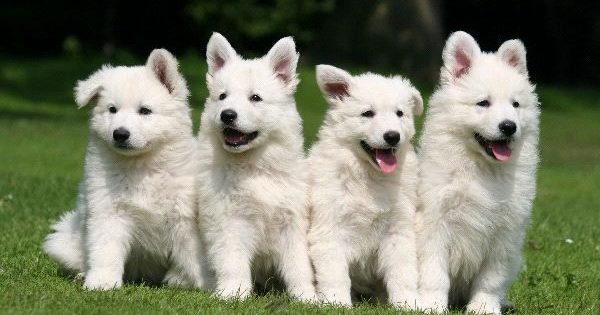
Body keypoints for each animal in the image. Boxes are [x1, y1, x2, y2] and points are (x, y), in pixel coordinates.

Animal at [42, 50, 206, 292]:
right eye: (112, 110)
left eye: (145, 111)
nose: (120, 134)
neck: (141, 166)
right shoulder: (108, 212)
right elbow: (105, 251)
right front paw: (102, 283)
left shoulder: (184, 216)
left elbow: (194, 256)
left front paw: (207, 283)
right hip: (65, 238)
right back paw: (81, 274)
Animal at [197, 33, 316, 302]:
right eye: (222, 97)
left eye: (255, 98)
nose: (227, 115)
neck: (255, 167)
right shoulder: (229, 220)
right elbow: (233, 262)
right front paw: (233, 294)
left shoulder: (292, 222)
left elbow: (298, 265)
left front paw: (307, 297)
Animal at [308, 65, 424, 310]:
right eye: (368, 113)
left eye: (400, 113)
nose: (392, 136)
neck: (369, 176)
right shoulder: (329, 228)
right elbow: (335, 275)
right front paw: (338, 305)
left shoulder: (398, 230)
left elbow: (403, 273)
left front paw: (408, 305)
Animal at [414, 31, 540, 314]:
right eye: (483, 103)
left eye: (516, 105)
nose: (509, 126)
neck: (481, 168)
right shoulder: (435, 223)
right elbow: (434, 273)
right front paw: (431, 305)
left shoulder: (505, 233)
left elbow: (490, 279)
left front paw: (484, 307)